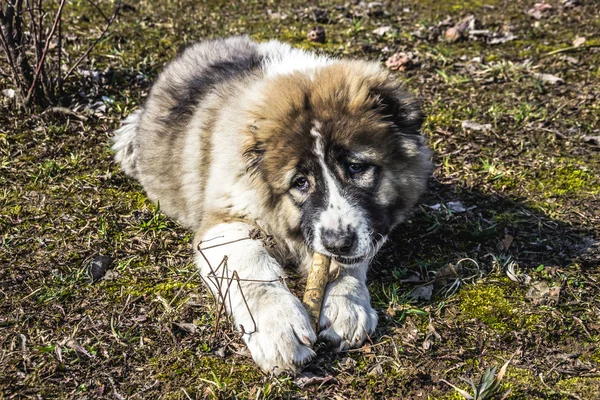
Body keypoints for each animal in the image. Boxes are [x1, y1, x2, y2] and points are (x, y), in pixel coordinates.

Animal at [112, 36, 432, 374]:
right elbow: (252, 266)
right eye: (300, 183)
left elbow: (350, 262)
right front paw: (278, 326)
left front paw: (347, 304)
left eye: (356, 167)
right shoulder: (225, 222)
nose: (338, 243)